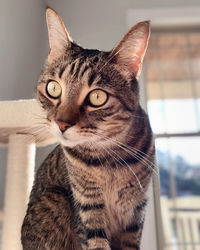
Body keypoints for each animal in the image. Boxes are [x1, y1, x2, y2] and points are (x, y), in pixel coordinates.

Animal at [20, 7, 155, 250]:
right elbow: (96, 241)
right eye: (53, 88)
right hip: (55, 200)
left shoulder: (135, 209)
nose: (62, 123)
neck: (108, 159)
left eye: (97, 97)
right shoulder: (86, 205)